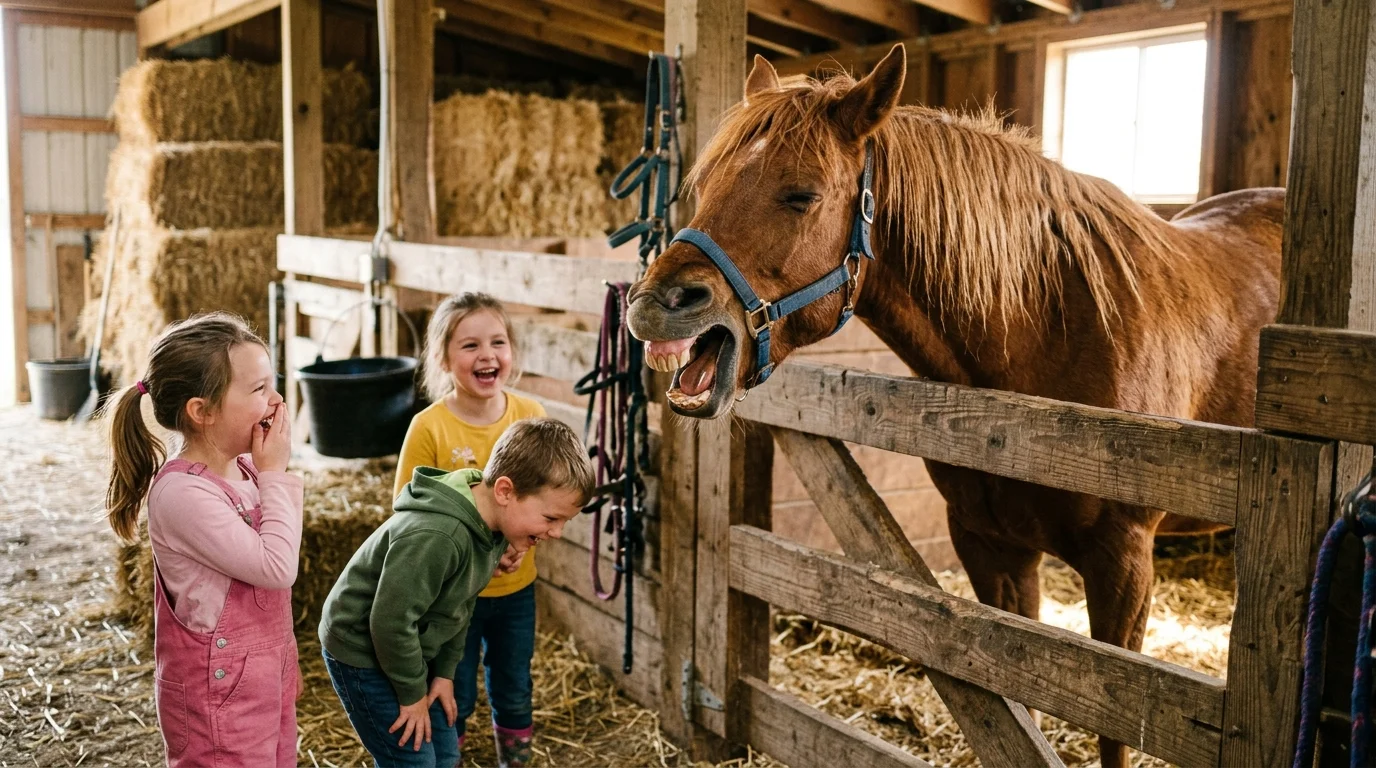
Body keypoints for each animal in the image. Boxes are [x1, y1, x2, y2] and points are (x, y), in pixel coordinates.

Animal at [625, 43, 1283, 768]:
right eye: (704, 185)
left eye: (801, 195)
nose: (654, 304)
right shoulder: (991, 546)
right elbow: (1014, 700)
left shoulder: (1124, 569)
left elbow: (1113, 731)